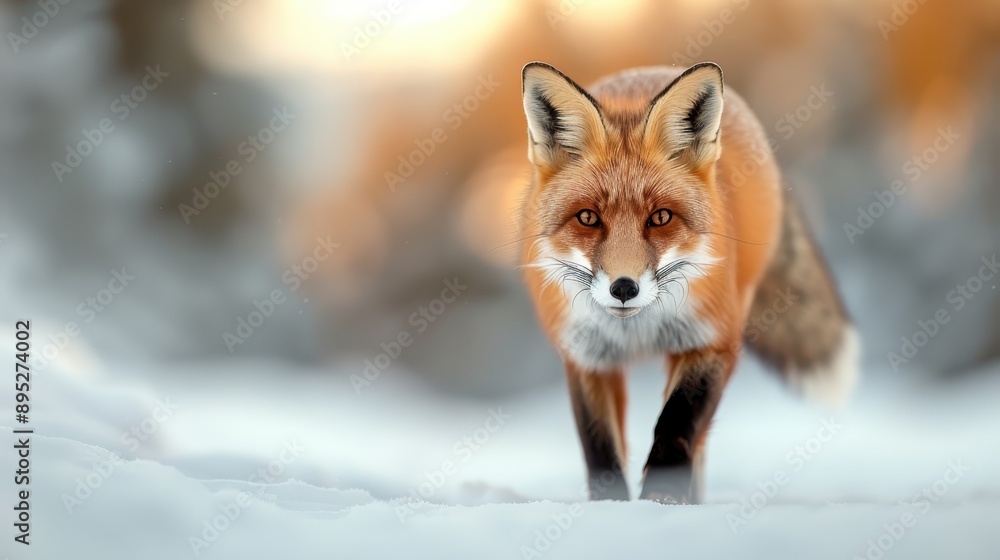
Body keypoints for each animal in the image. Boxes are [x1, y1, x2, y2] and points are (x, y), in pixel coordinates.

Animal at [518, 61, 859, 503]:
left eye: (661, 217)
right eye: (588, 218)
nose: (624, 288)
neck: (638, 331)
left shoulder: (713, 341)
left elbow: (676, 425)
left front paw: (662, 499)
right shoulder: (586, 356)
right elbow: (600, 449)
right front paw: (611, 506)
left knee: (698, 439)